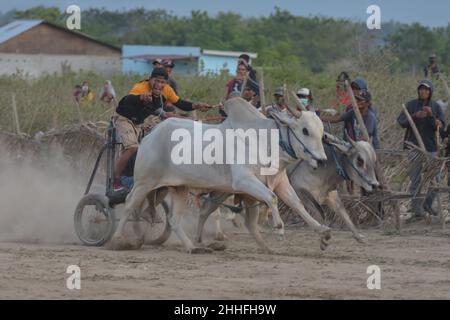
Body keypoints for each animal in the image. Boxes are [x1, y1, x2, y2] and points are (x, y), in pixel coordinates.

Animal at [107, 97, 328, 252]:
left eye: (322, 131)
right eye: (305, 130)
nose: (322, 160)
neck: (263, 141)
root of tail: (150, 135)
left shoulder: (280, 183)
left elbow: (297, 204)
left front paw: (322, 232)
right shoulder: (244, 181)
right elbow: (271, 198)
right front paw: (280, 229)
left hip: (178, 188)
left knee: (174, 220)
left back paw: (193, 247)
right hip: (144, 182)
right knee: (129, 205)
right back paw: (116, 240)